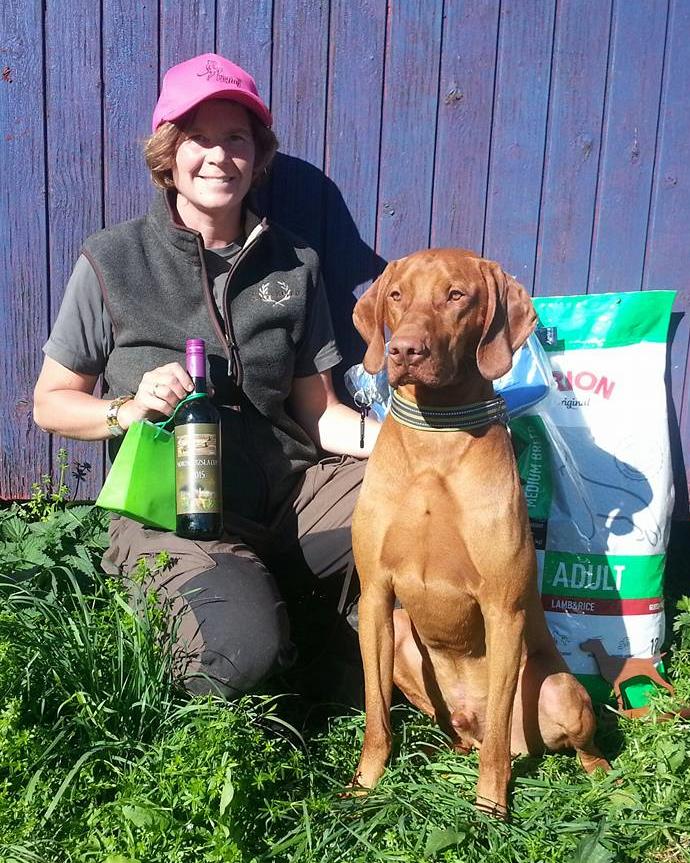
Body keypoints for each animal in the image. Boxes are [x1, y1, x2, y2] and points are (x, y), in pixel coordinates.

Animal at [350, 248, 608, 816]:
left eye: (456, 295)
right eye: (396, 295)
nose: (403, 349)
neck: (436, 438)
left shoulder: (503, 608)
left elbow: (497, 745)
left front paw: (490, 807)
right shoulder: (376, 594)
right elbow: (376, 713)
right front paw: (364, 785)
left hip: (561, 689)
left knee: (541, 740)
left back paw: (601, 774)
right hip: (404, 641)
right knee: (465, 733)